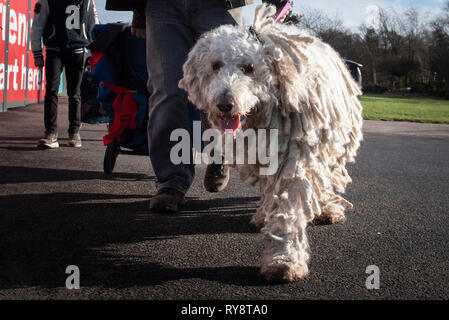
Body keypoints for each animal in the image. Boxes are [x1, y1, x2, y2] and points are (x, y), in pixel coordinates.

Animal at [177, 3, 362, 282]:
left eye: (249, 67)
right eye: (216, 65)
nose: (224, 103)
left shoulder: (295, 159)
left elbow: (289, 208)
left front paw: (284, 260)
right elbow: (270, 192)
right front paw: (268, 221)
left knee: (325, 178)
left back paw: (327, 209)